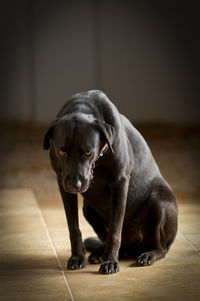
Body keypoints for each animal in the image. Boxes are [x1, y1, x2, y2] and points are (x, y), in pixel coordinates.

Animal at [43, 89, 177, 274]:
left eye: (88, 152)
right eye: (61, 152)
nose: (74, 186)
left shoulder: (120, 184)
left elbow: (115, 230)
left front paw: (110, 262)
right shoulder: (62, 183)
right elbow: (73, 227)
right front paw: (77, 257)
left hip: (159, 203)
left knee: (161, 248)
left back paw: (148, 255)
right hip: (88, 209)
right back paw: (101, 252)